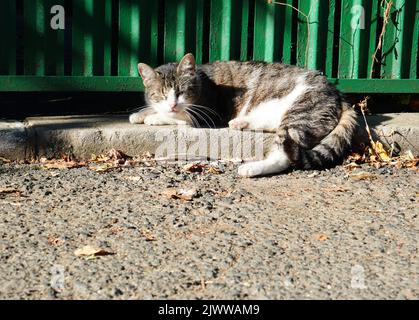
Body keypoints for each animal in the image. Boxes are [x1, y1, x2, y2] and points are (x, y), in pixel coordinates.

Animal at [130, 53, 358, 178]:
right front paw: (141, 114)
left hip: (299, 112)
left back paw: (251, 168)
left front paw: (154, 117)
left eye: (181, 92)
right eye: (161, 94)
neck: (202, 80)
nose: (172, 103)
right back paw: (242, 123)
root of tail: (338, 93)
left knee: (284, 153)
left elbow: (180, 116)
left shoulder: (210, 114)